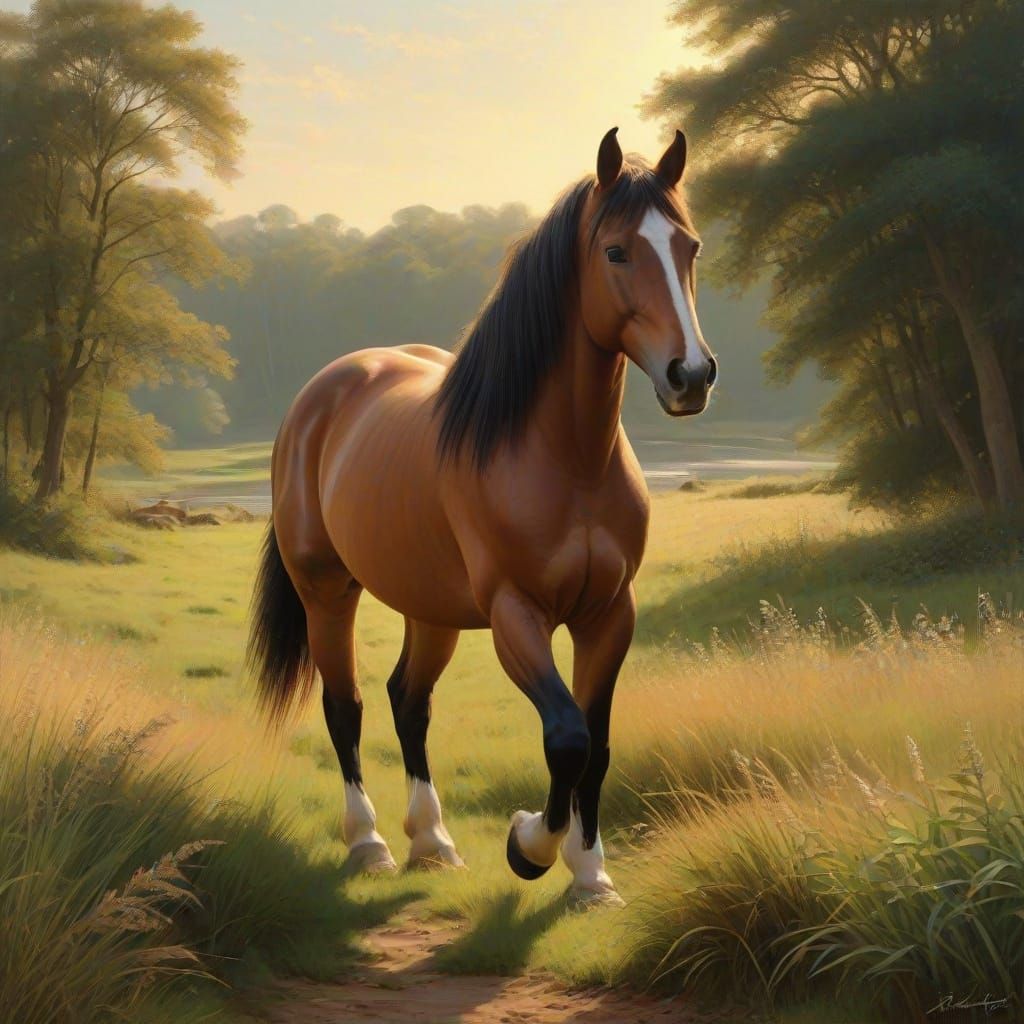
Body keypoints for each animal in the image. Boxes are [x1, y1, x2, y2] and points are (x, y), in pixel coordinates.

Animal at [247, 127, 717, 907]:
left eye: (690, 247)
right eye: (617, 251)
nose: (692, 376)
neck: (566, 459)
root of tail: (319, 396)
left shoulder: (609, 613)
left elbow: (597, 743)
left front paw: (592, 875)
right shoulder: (514, 614)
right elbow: (566, 737)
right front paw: (529, 845)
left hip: (430, 608)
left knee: (409, 701)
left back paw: (432, 841)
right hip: (327, 592)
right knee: (347, 707)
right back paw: (370, 844)